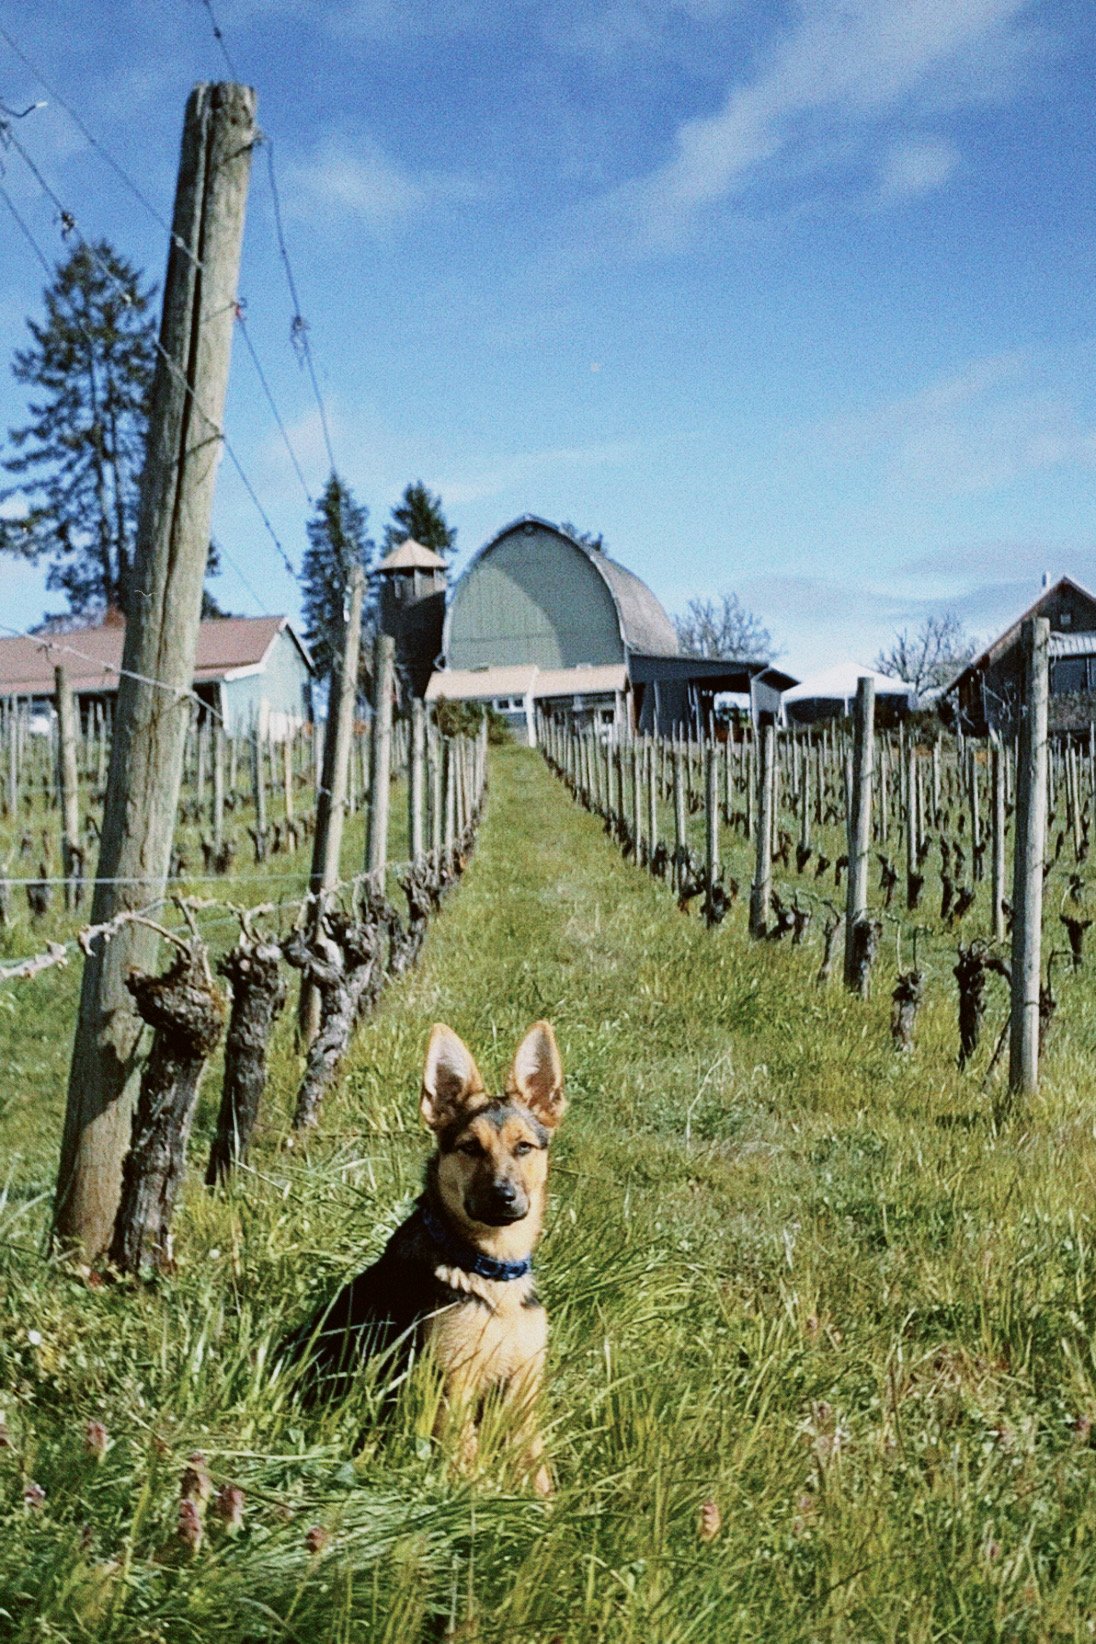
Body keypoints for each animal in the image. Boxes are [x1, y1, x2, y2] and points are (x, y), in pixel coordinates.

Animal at [289, 1012, 565, 1492]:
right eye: (470, 1148)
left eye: (524, 1147)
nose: (504, 1197)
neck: (490, 1272)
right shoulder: (451, 1386)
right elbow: (467, 1464)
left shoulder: (523, 1392)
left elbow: (538, 1472)